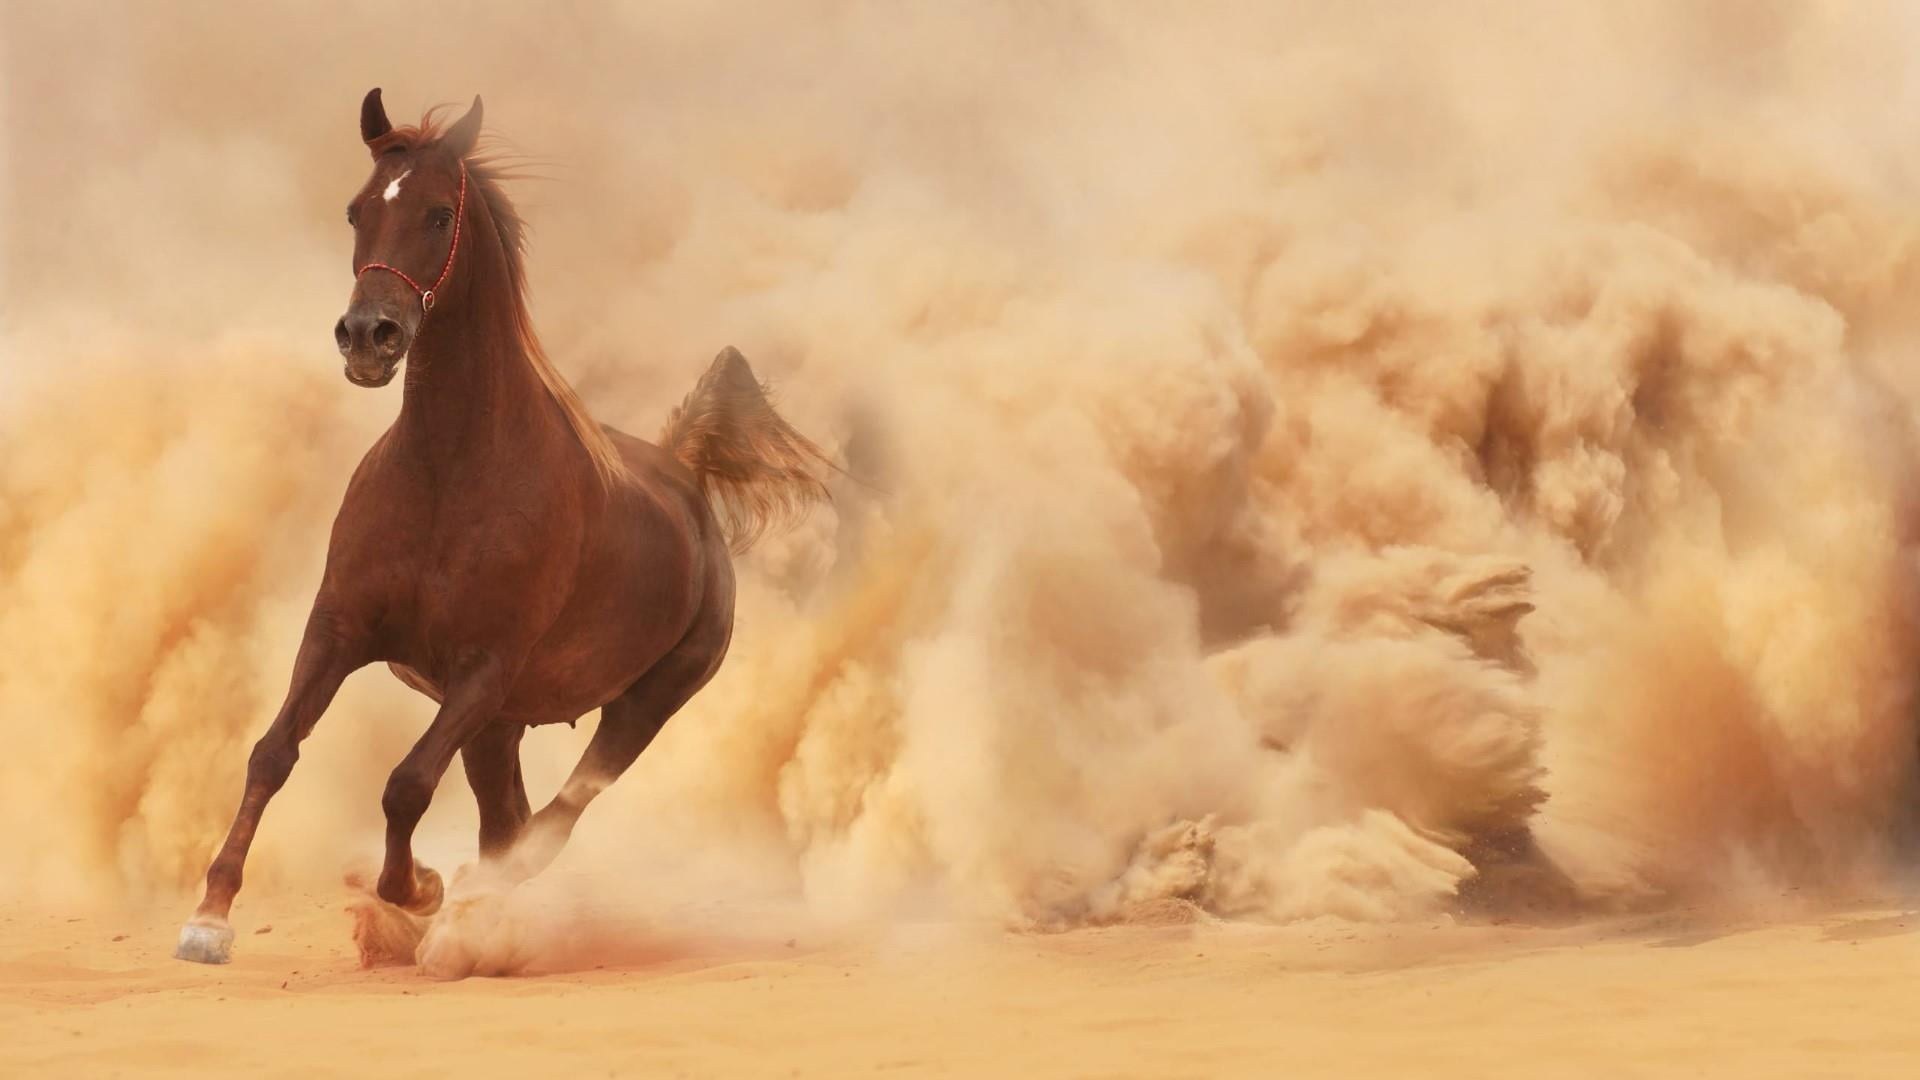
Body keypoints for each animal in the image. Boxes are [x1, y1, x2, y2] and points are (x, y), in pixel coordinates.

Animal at [174, 89, 834, 964]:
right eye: (357, 209)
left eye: (438, 213)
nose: (368, 337)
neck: (449, 474)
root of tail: (685, 477)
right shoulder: (339, 629)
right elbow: (272, 753)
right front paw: (209, 917)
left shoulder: (482, 669)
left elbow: (406, 784)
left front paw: (419, 889)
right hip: (503, 727)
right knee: (508, 818)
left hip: (641, 704)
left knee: (550, 824)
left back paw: (471, 913)